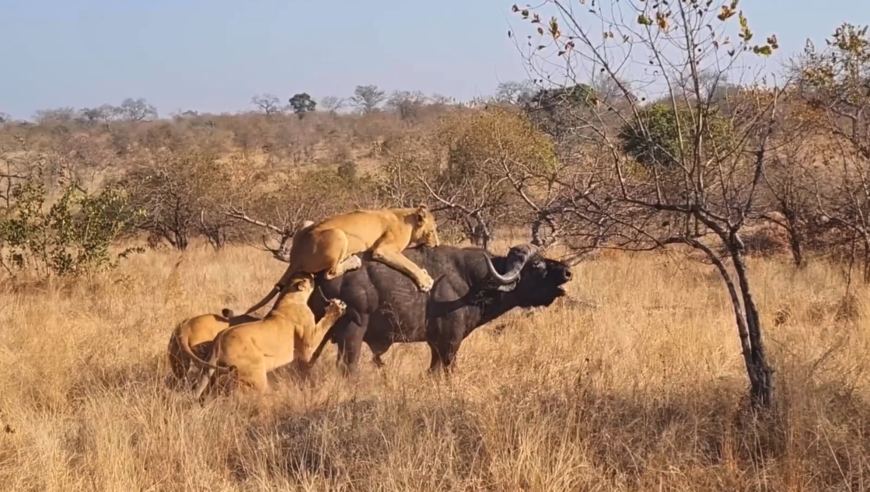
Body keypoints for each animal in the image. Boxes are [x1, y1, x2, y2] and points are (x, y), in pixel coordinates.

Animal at [192, 272, 346, 400]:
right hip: (255, 375)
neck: (288, 295)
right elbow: (324, 324)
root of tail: (218, 340)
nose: (313, 274)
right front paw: (337, 308)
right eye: (308, 276)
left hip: (217, 372)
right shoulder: (307, 347)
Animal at [242, 205, 440, 316]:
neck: (408, 217)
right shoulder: (383, 250)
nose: (438, 244)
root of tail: (295, 256)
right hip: (338, 235)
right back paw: (353, 260)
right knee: (329, 273)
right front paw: (425, 281)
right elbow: (409, 264)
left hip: (307, 222)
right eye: (432, 231)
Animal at [306, 244, 572, 374]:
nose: (567, 272)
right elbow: (446, 370)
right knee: (348, 369)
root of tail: (322, 275)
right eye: (536, 265)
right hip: (352, 332)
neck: (474, 282)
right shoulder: (449, 342)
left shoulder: (435, 344)